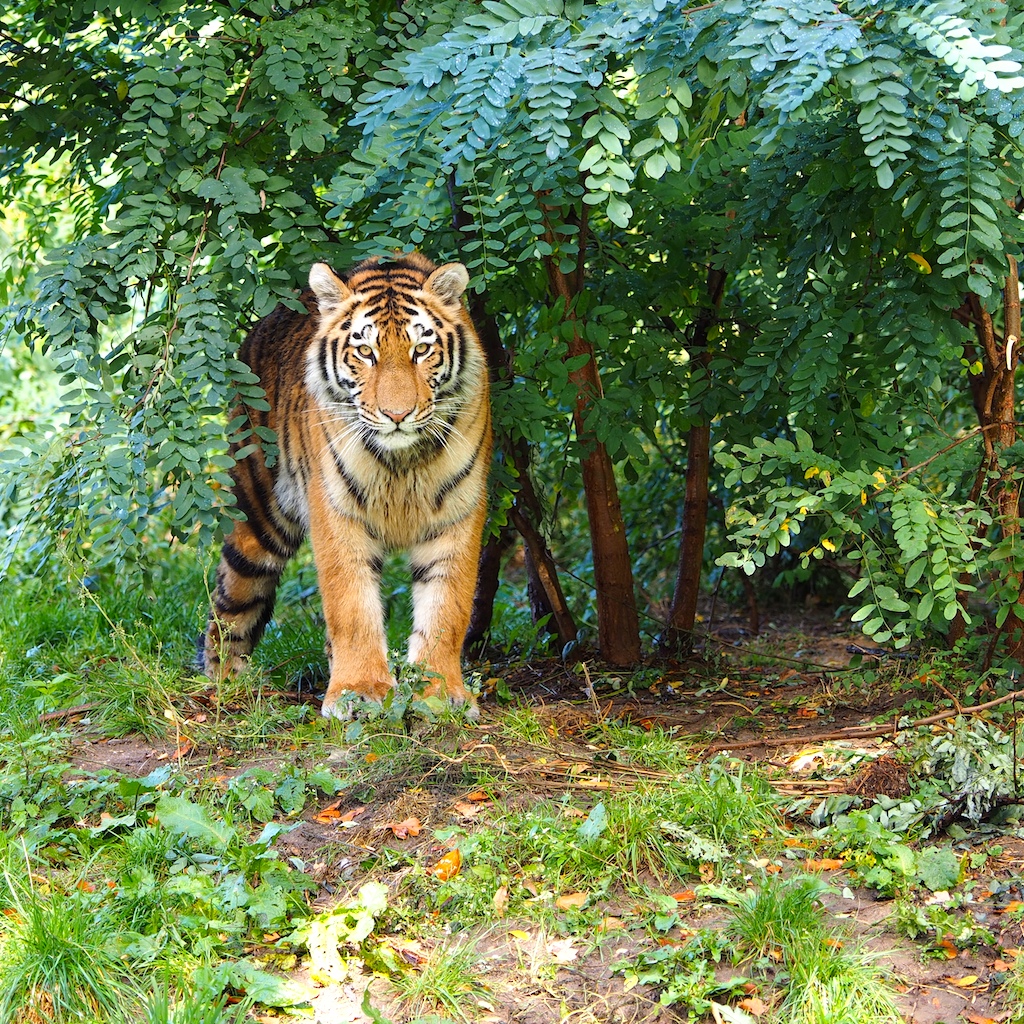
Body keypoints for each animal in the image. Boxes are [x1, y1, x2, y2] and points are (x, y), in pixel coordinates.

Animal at [202, 253, 491, 720]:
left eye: (421, 350)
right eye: (365, 352)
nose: (397, 415)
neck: (401, 461)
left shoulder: (457, 514)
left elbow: (447, 608)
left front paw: (439, 694)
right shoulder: (336, 514)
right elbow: (351, 608)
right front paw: (359, 691)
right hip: (260, 518)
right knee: (230, 601)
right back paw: (224, 683)